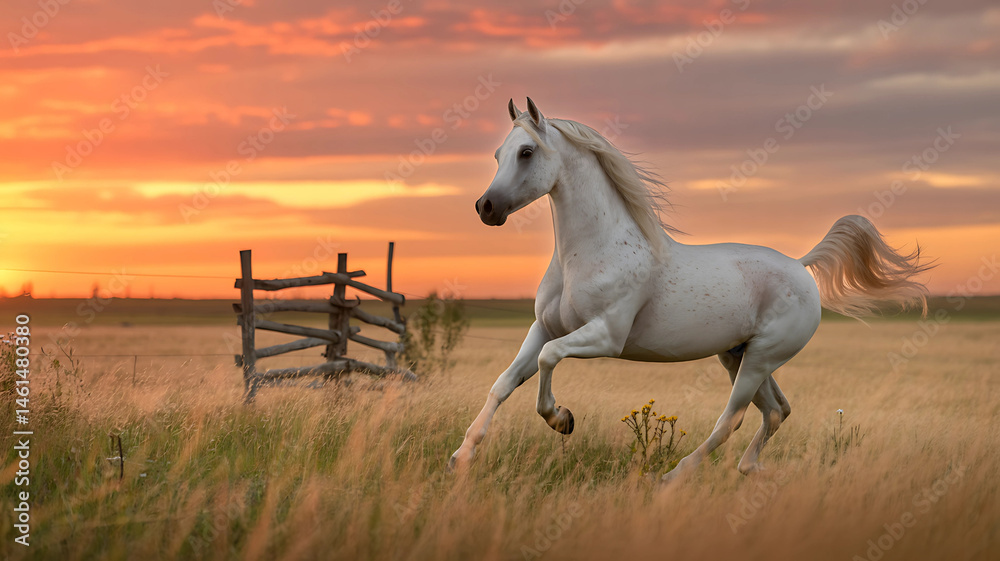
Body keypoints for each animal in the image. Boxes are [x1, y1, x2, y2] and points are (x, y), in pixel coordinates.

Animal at [449, 97, 931, 480]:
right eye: (498, 153)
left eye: (527, 151)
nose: (486, 207)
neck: (590, 254)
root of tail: (801, 266)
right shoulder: (544, 328)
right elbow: (504, 382)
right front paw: (462, 456)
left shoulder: (605, 336)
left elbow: (548, 361)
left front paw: (562, 419)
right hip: (737, 356)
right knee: (776, 410)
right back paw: (750, 471)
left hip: (760, 358)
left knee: (731, 419)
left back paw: (672, 477)